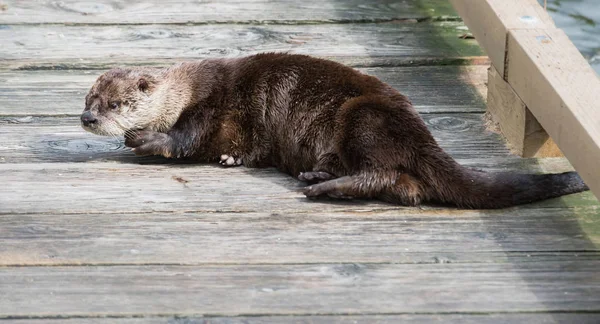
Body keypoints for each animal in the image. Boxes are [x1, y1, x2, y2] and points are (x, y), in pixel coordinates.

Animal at [79, 52, 584, 210]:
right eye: (87, 99)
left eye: (116, 104)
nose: (88, 119)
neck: (186, 91)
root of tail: (419, 130)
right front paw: (230, 156)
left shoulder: (212, 104)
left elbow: (186, 138)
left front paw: (145, 139)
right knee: (407, 187)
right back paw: (320, 176)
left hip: (363, 118)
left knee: (382, 172)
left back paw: (320, 187)